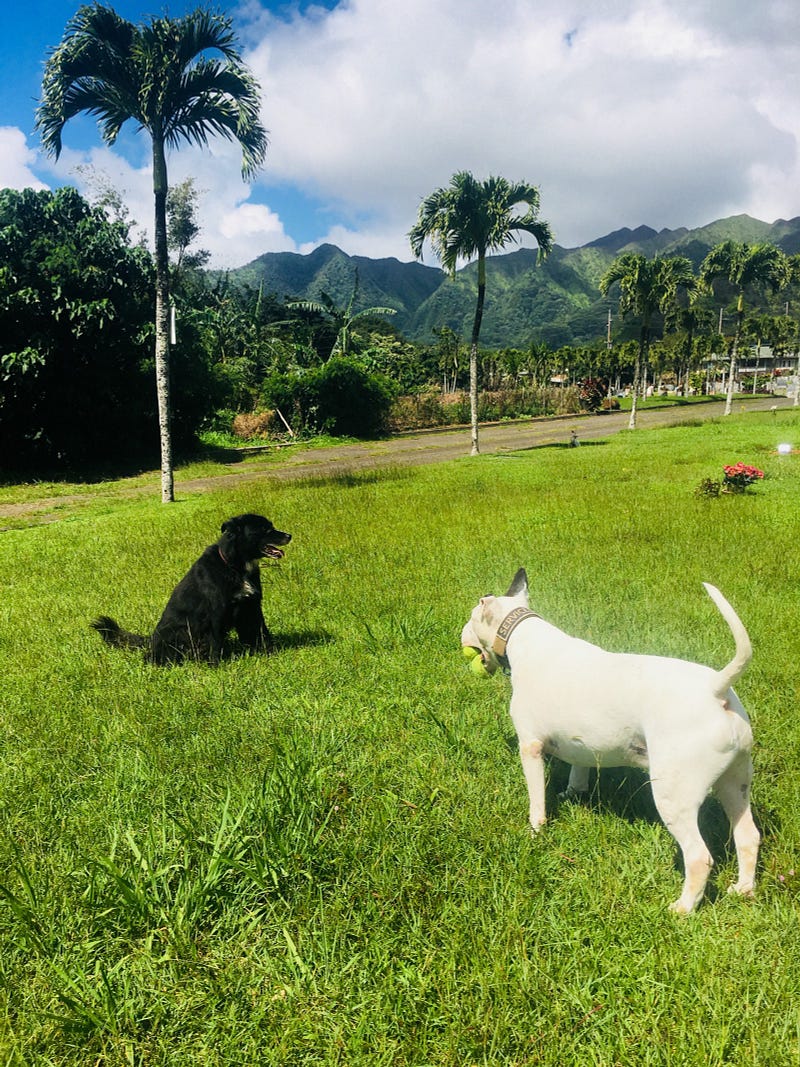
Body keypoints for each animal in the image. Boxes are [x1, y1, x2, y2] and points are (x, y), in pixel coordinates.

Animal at [92, 512, 292, 661]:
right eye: (265, 529)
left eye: (271, 526)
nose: (289, 536)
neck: (234, 565)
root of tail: (151, 640)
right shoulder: (215, 613)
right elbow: (215, 641)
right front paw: (216, 664)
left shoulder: (251, 606)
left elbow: (261, 631)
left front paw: (269, 652)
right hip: (180, 630)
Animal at [460, 571, 759, 913]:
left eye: (471, 617)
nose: (460, 635)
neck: (525, 638)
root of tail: (715, 688)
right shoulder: (581, 743)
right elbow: (578, 771)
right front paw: (572, 793)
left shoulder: (530, 746)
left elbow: (537, 801)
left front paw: (534, 832)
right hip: (735, 781)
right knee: (748, 835)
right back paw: (743, 889)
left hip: (674, 792)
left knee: (699, 856)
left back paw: (682, 909)